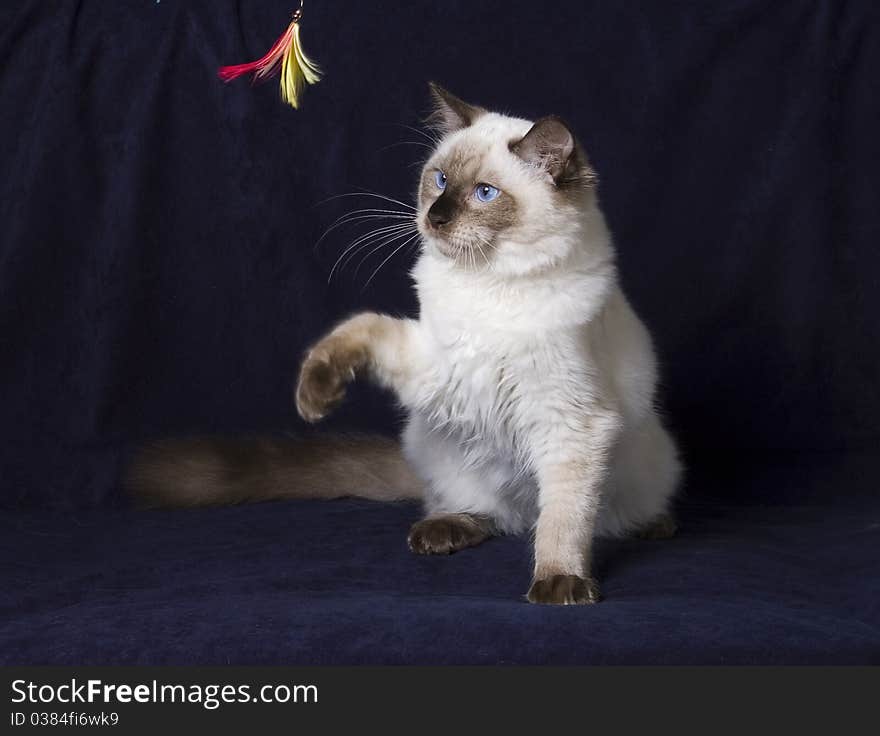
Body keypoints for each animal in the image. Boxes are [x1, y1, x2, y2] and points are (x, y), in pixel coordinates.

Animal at [131, 83, 680, 608]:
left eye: (485, 193)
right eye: (438, 181)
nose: (435, 216)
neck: (487, 285)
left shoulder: (571, 425)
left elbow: (563, 520)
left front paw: (559, 583)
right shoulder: (434, 365)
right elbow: (361, 327)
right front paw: (315, 396)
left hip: (646, 460)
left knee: (580, 517)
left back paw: (653, 526)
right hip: (434, 445)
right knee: (481, 513)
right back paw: (445, 529)